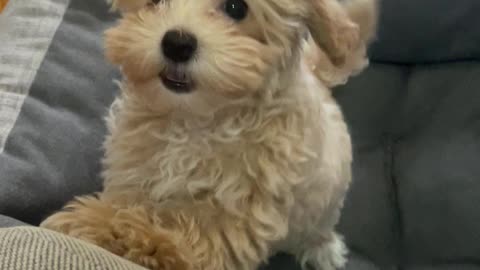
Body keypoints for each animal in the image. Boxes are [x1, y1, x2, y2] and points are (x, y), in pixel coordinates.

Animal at [41, 0, 376, 270]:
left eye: (236, 8)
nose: (176, 43)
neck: (196, 121)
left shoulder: (244, 211)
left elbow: (200, 237)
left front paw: (142, 238)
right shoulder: (134, 169)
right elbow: (129, 200)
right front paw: (102, 224)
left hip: (325, 205)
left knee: (318, 230)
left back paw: (324, 250)